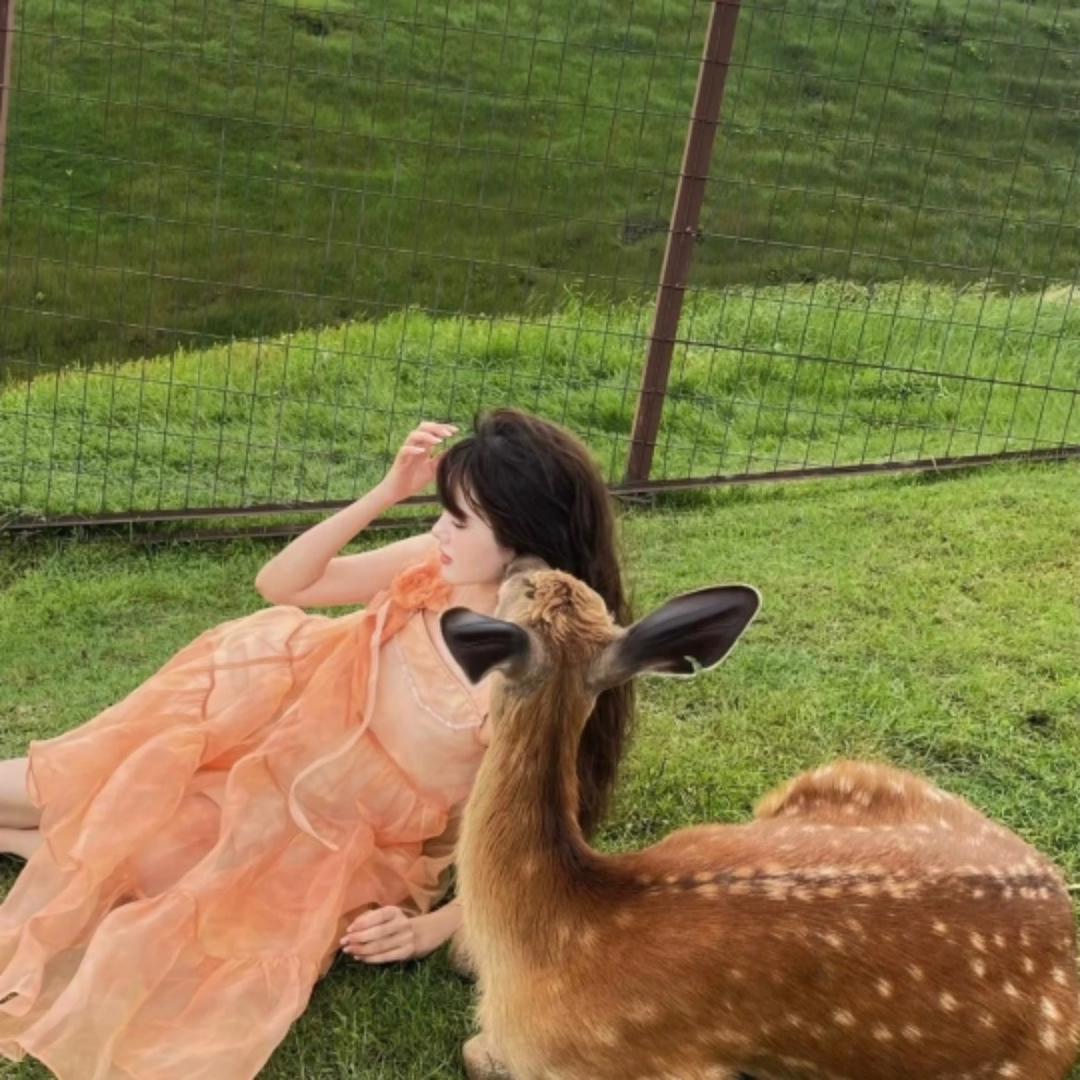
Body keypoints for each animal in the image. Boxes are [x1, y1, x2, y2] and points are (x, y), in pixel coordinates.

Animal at [439, 557, 1080, 1080]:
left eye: (523, 588)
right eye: (561, 585)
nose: (523, 559)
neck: (547, 934)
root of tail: (1062, 907)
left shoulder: (644, 1066)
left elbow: (474, 1053)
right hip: (842, 776)